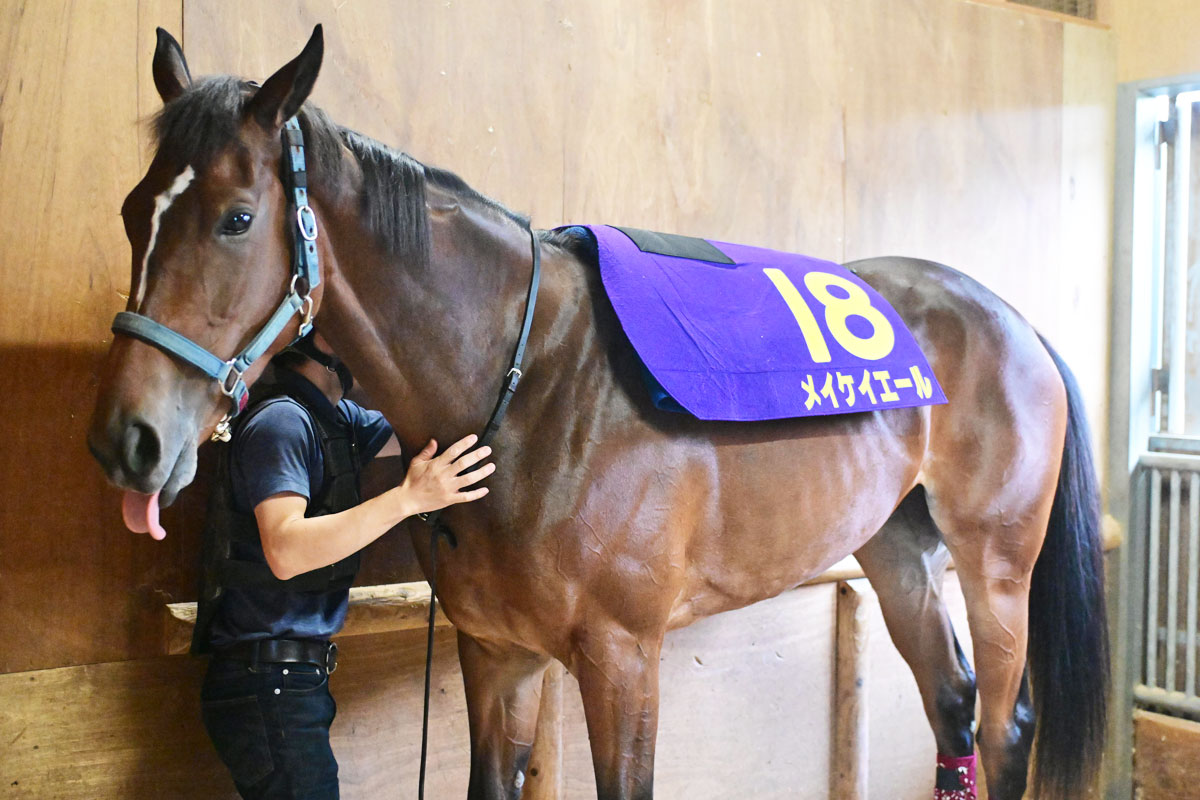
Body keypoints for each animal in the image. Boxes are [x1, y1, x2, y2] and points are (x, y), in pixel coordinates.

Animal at [87, 26, 1108, 800]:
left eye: (235, 217)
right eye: (135, 209)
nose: (126, 441)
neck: (529, 388)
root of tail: (1012, 318)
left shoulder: (622, 659)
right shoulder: (497, 653)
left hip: (996, 566)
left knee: (1005, 721)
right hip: (898, 551)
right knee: (952, 704)